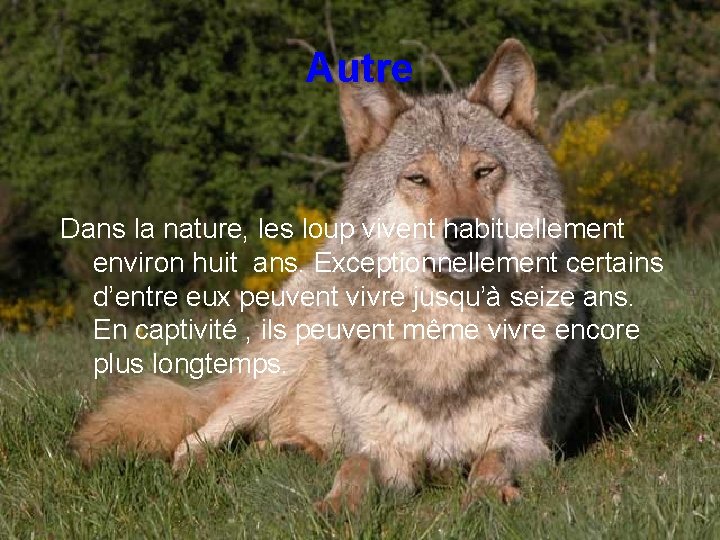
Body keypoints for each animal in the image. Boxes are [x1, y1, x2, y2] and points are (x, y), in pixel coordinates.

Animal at [71, 39, 600, 513]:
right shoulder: (381, 444)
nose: (463, 235)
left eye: (484, 172)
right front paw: (340, 504)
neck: (447, 332)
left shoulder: (527, 440)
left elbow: (490, 461)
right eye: (418, 180)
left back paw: (294, 449)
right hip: (280, 365)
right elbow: (356, 466)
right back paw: (199, 469)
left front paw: (485, 497)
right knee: (197, 436)